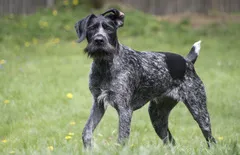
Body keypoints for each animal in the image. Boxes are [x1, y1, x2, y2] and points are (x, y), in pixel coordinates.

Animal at [74, 8, 216, 148]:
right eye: (91, 28)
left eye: (109, 28)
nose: (99, 40)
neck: (105, 65)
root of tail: (187, 61)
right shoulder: (98, 104)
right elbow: (86, 132)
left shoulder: (124, 109)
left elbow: (122, 139)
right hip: (157, 117)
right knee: (171, 142)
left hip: (199, 111)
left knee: (211, 139)